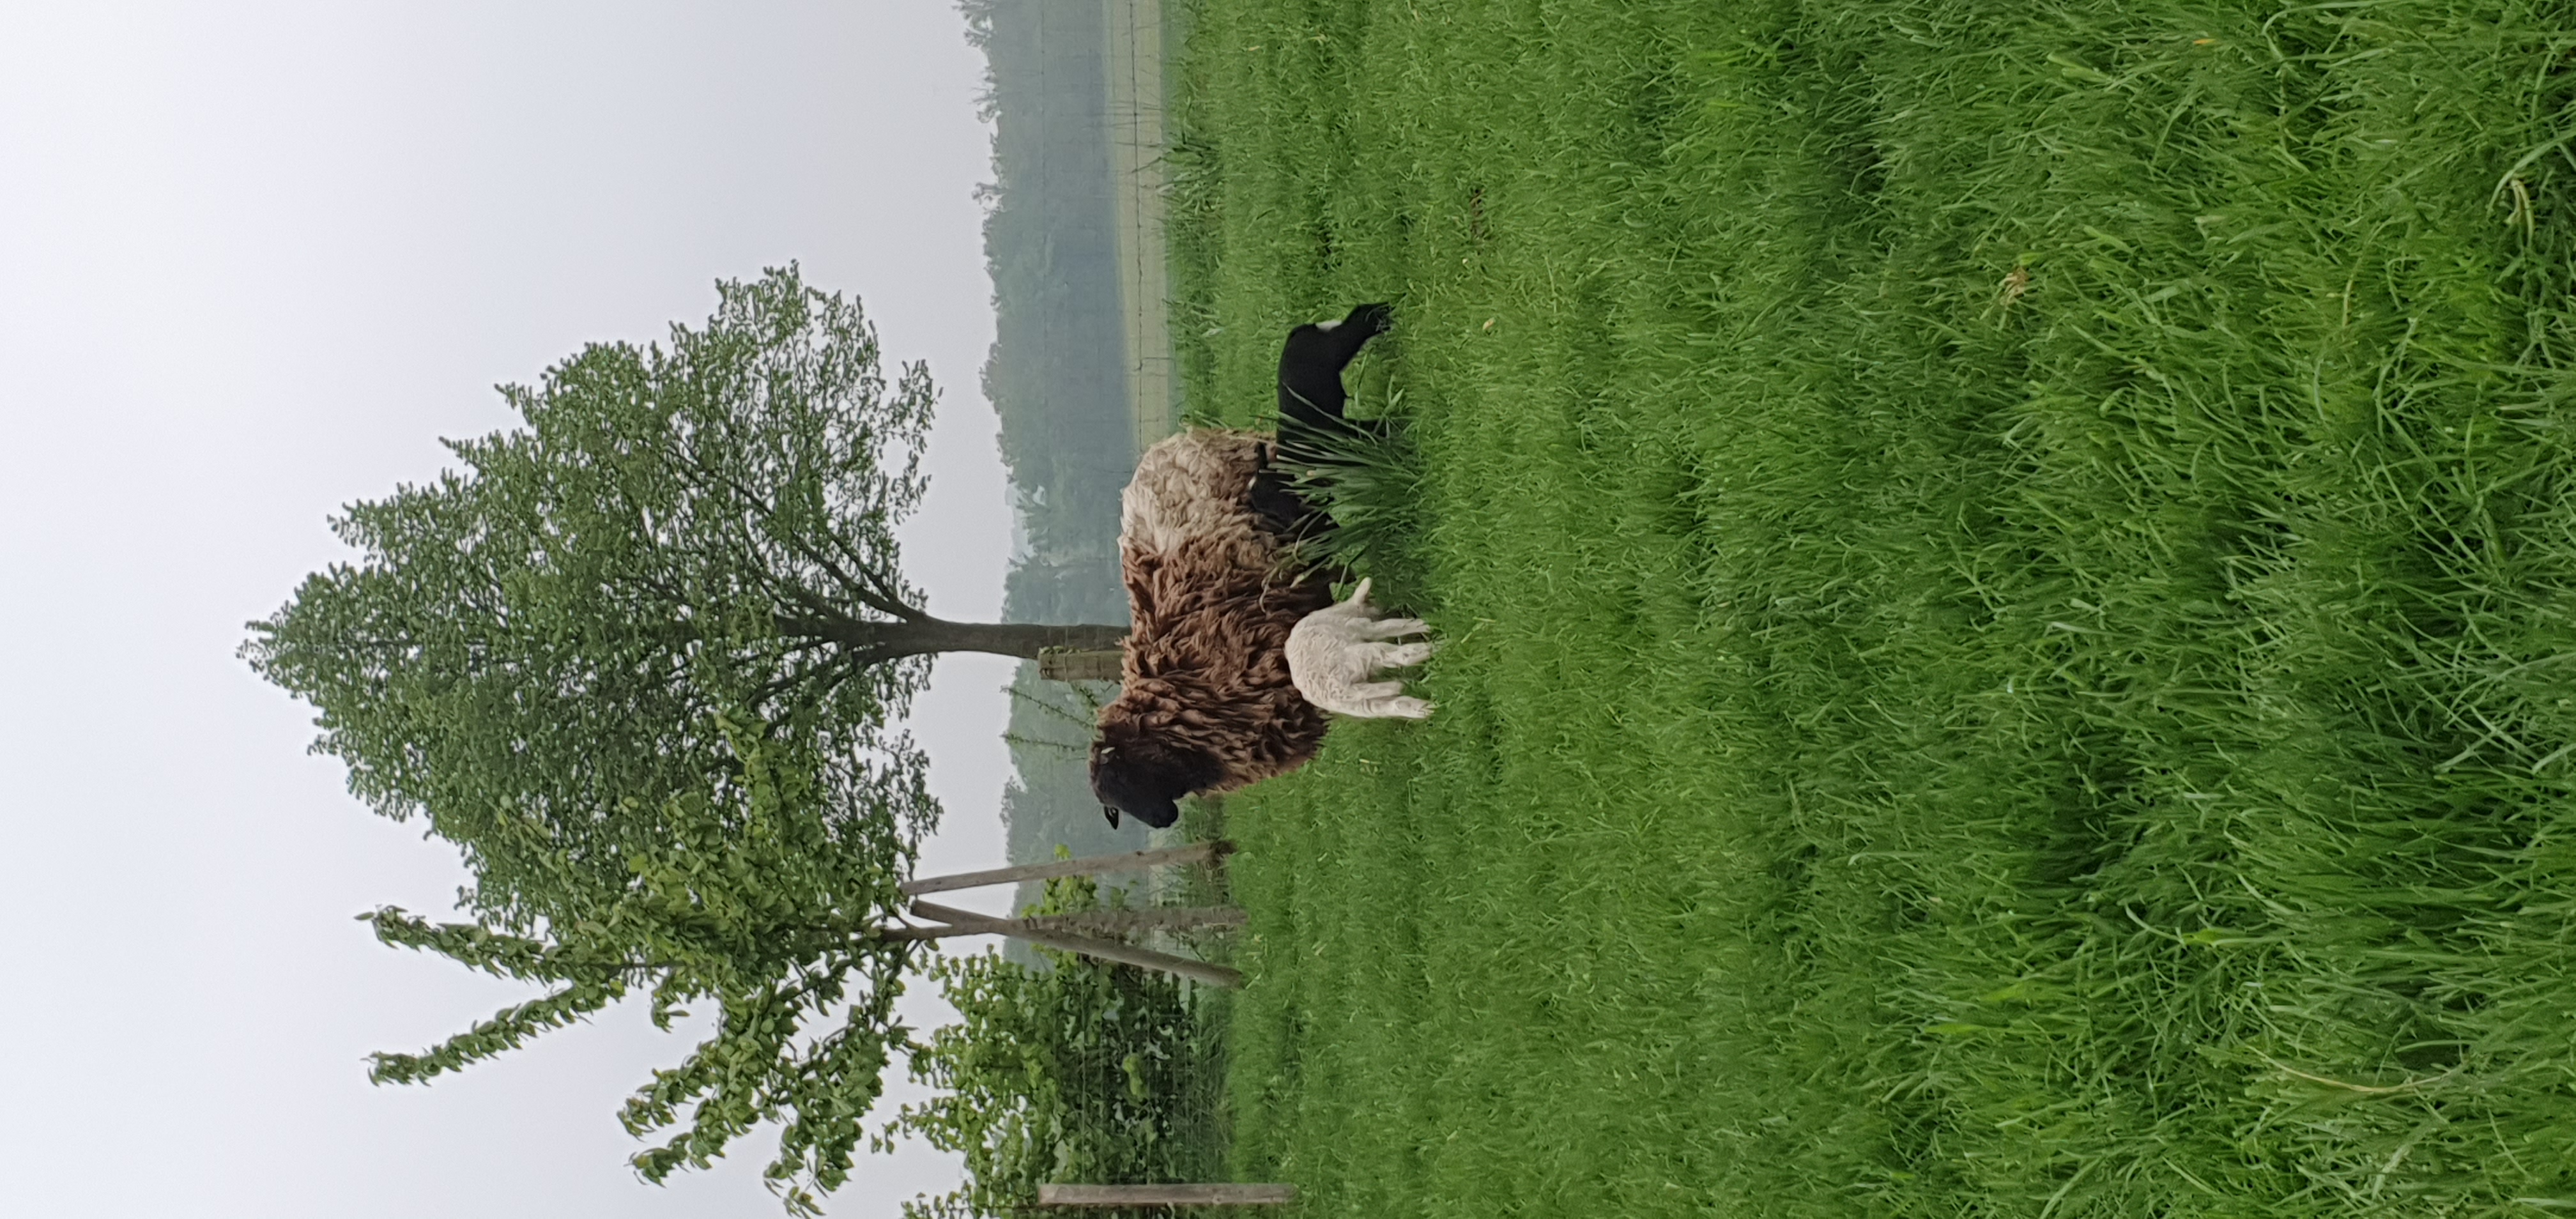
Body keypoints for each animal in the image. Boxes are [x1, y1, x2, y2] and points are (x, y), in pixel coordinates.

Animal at [1286, 578, 1435, 719]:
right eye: (1372, 599)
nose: (1385, 609)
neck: (1344, 609)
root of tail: (1342, 692)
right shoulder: (1358, 625)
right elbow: (1391, 626)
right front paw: (1423, 625)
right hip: (1354, 658)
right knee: (1398, 657)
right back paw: (1431, 649)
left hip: (1355, 705)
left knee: (1388, 705)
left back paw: (1424, 708)